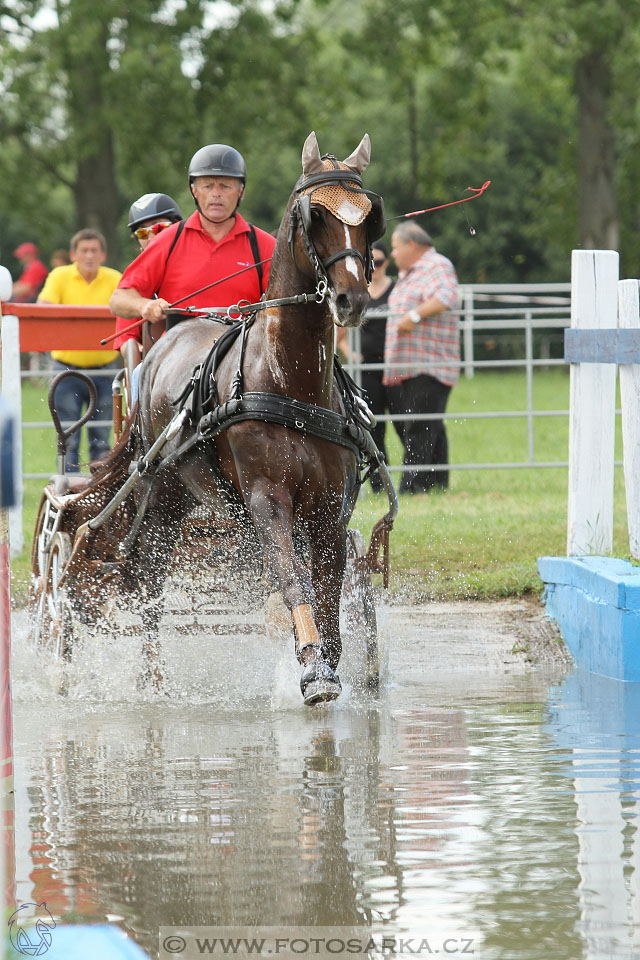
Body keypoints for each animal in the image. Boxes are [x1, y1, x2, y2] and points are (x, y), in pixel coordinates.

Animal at [109, 131, 384, 704]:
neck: (290, 381)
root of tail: (168, 338)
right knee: (150, 580)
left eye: (370, 217)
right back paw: (151, 680)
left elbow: (329, 593)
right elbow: (291, 579)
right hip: (162, 499)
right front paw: (312, 669)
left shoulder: (328, 509)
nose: (350, 299)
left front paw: (331, 663)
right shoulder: (267, 497)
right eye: (312, 216)